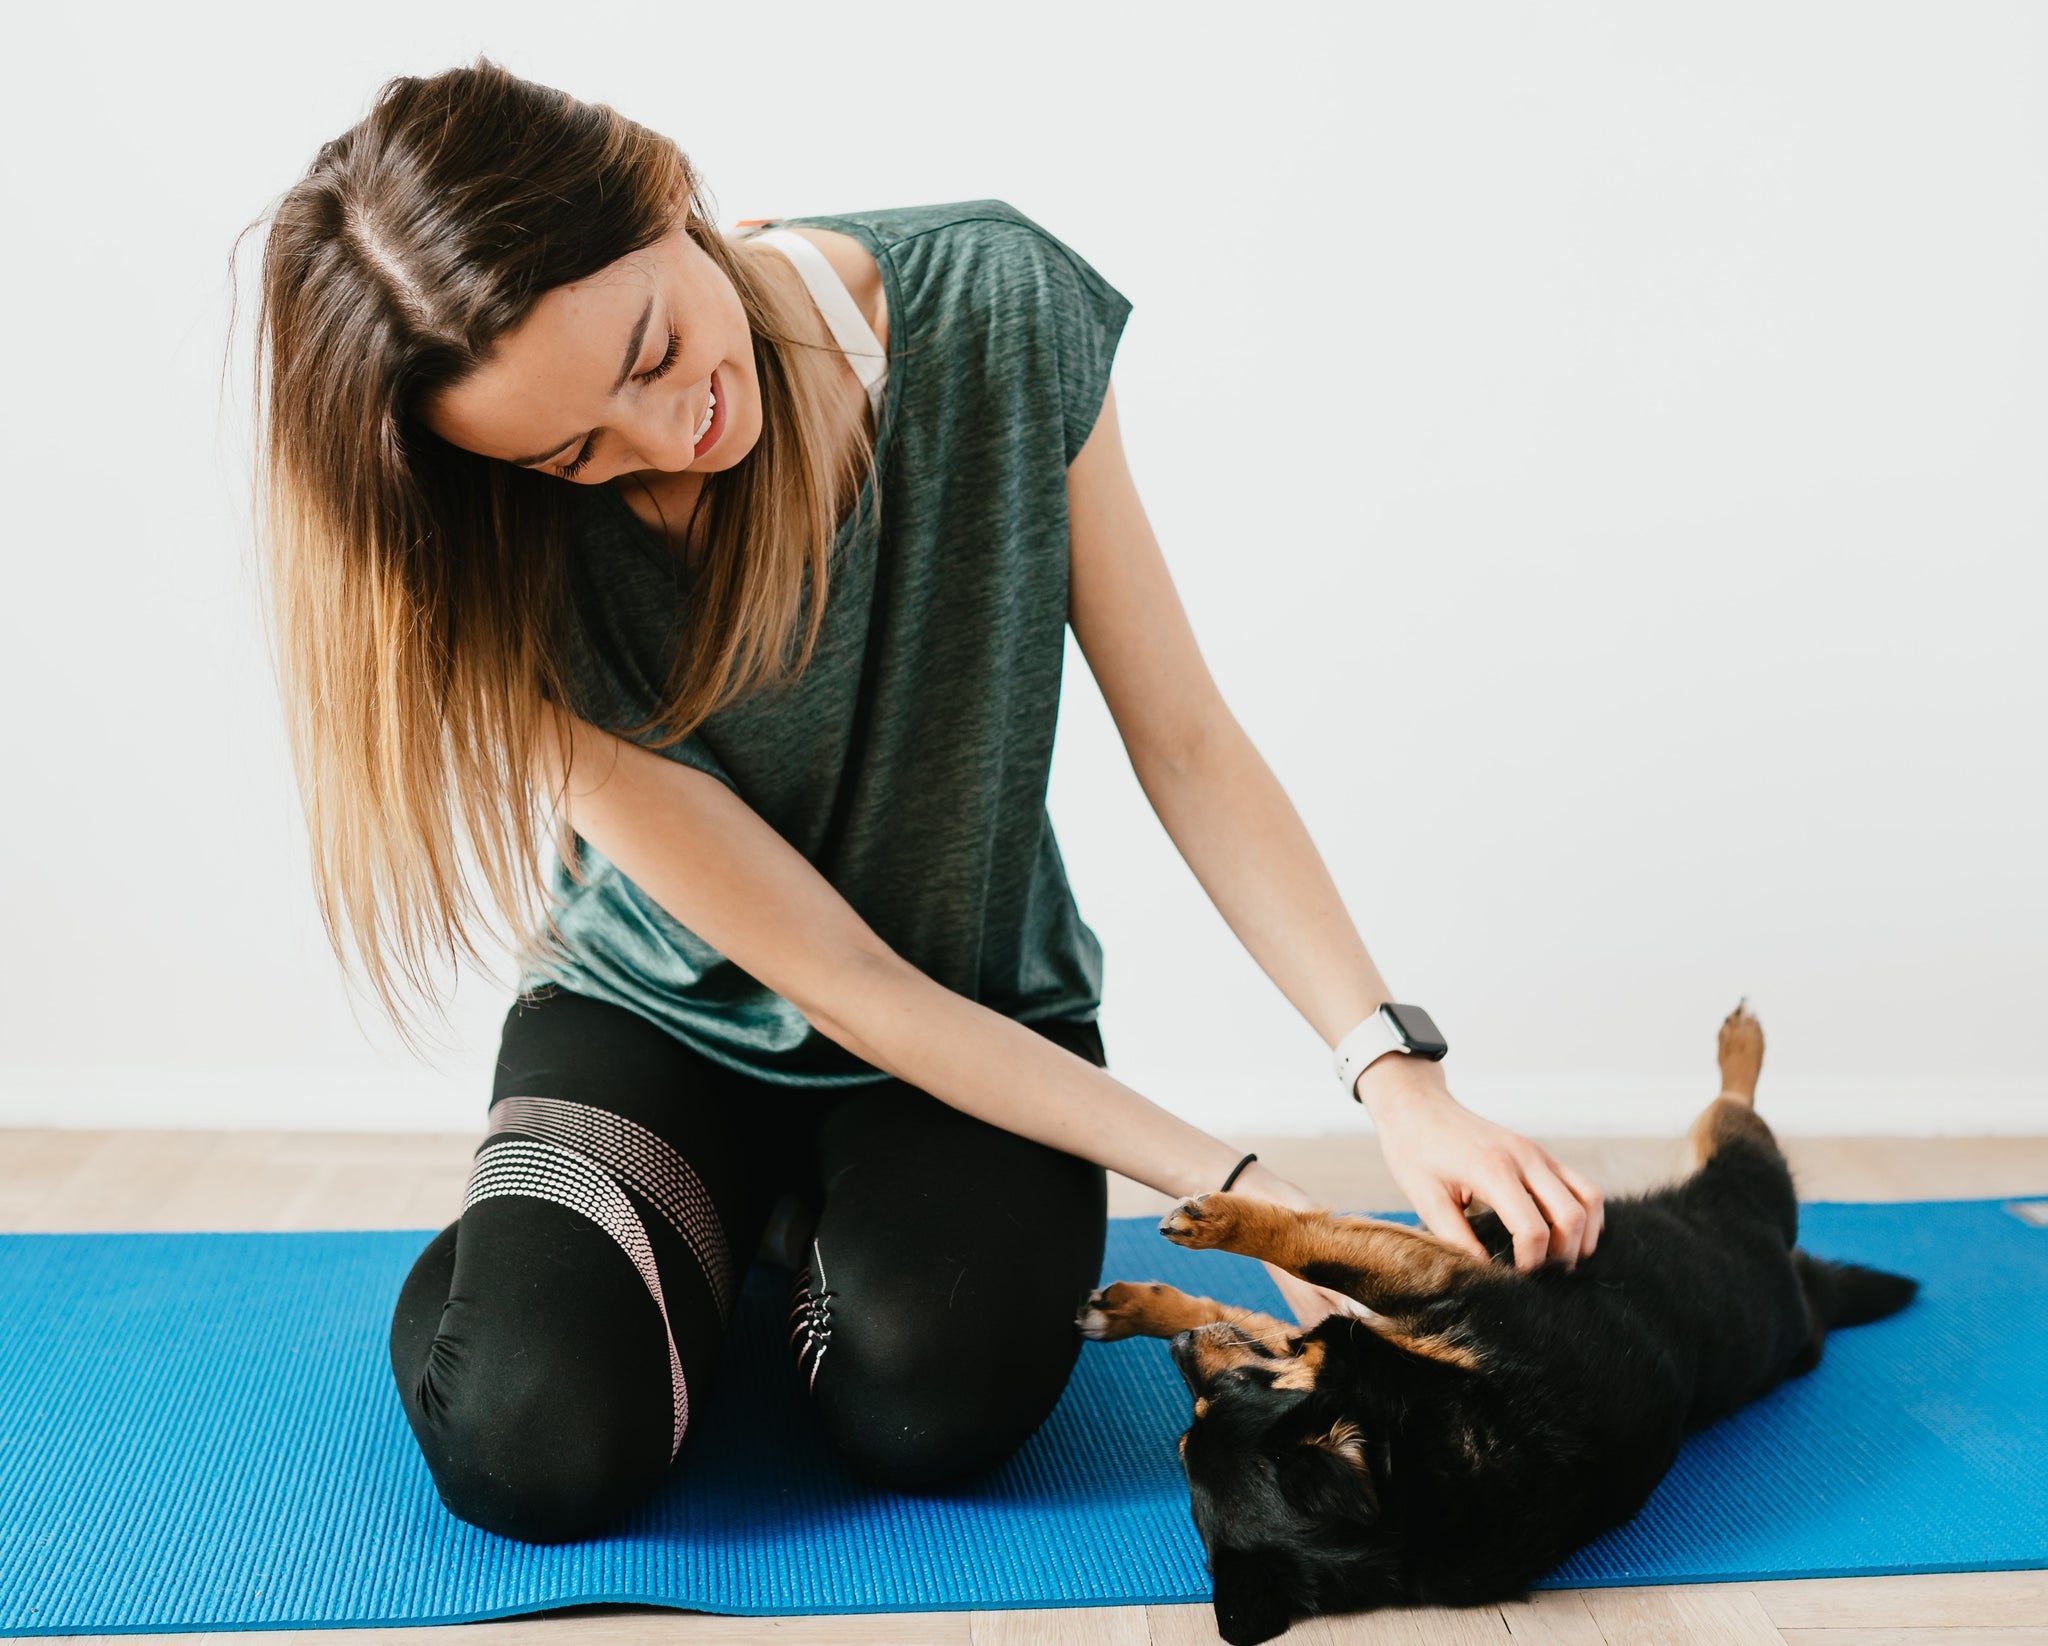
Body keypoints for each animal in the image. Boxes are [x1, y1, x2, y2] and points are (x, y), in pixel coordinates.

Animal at [1081, 1003, 1925, 1646]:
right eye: (1190, 1428)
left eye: (1208, 1410)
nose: (1180, 1351)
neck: (1418, 1455)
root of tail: (1808, 1298)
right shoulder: (1401, 1298)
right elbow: (1277, 1286)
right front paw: (1158, 1298)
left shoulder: (1430, 1280)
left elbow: (1300, 1252)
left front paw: (1196, 1247)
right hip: (1740, 1193)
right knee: (1732, 1119)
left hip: (1742, 1185)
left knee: (1734, 1113)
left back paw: (1739, 1040)